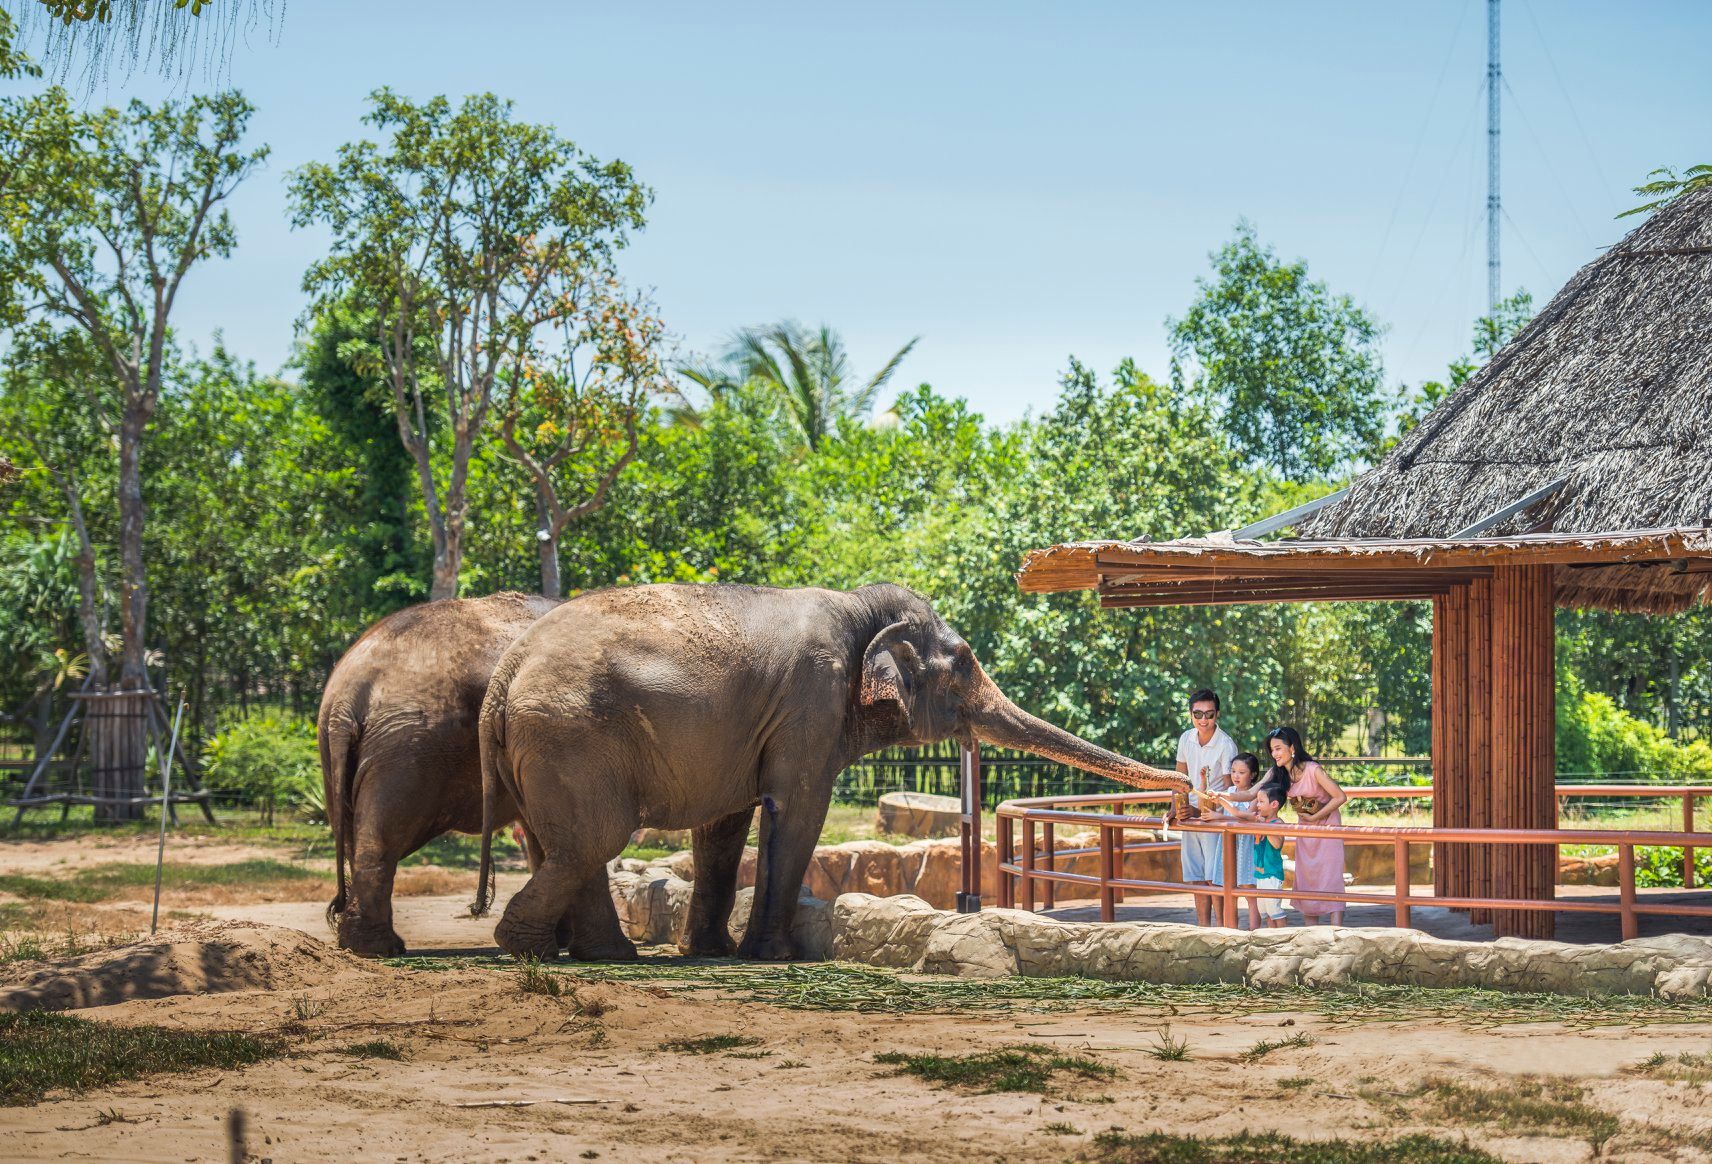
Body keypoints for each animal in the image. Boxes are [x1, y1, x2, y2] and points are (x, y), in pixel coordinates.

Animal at [318, 592, 558, 951]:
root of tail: (348, 696)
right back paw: (382, 948)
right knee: (381, 839)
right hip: (407, 752)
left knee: (351, 838)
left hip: (338, 757)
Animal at [472, 582, 1191, 965]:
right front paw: (773, 956)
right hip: (571, 737)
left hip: (545, 746)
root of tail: (504, 675)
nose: (1184, 790)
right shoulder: (810, 702)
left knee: (562, 844)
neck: (858, 608)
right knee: (593, 840)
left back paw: (587, 953)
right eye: (962, 664)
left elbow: (726, 825)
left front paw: (716, 951)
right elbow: (796, 810)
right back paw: (529, 946)